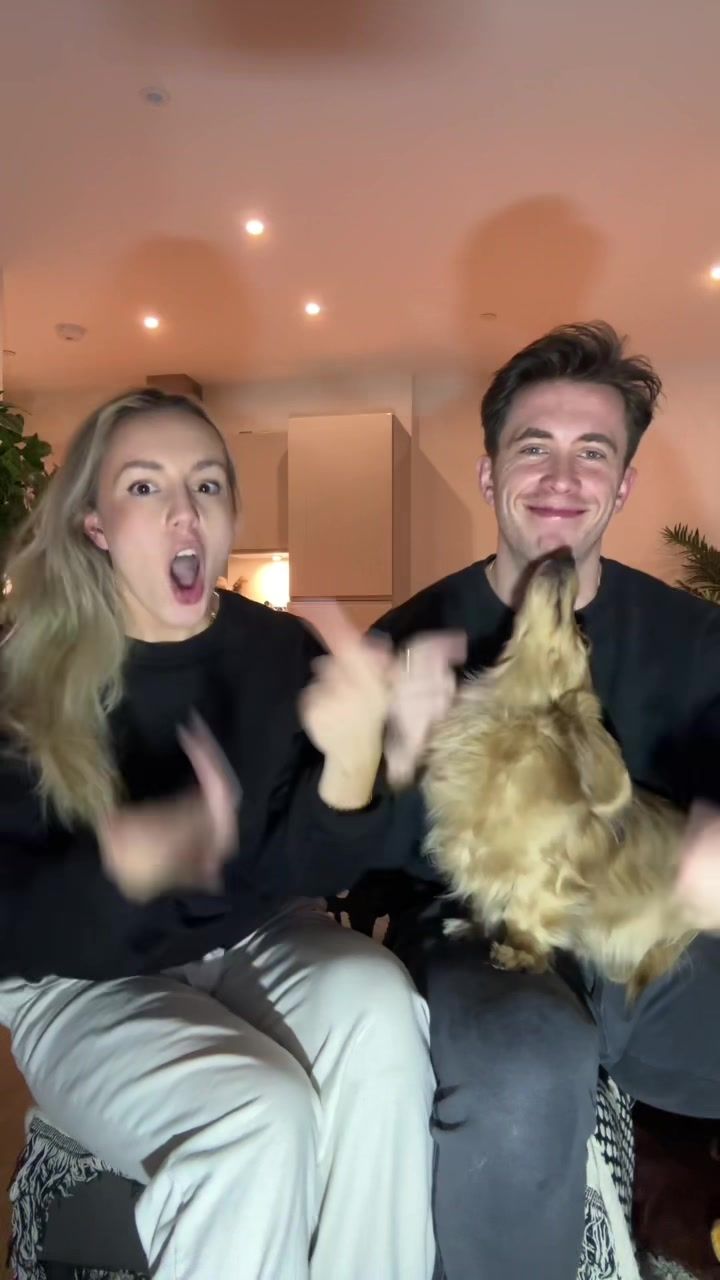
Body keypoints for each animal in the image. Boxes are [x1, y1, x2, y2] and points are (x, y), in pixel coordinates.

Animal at [422, 553, 698, 1000]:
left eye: (583, 638)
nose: (564, 555)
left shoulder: (544, 870)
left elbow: (527, 910)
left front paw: (521, 952)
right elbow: (483, 900)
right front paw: (472, 926)